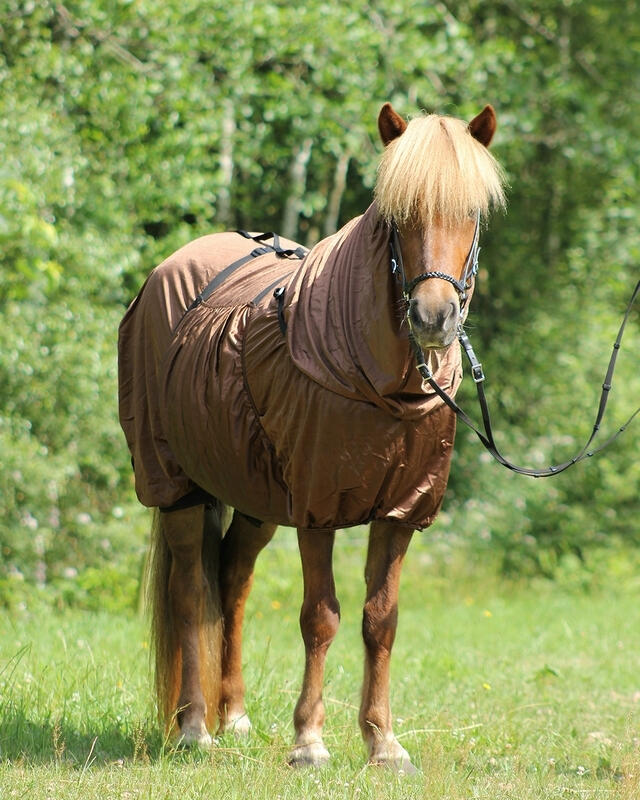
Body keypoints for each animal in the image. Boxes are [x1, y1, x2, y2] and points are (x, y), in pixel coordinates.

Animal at [118, 101, 506, 771]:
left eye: (471, 212)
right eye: (399, 215)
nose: (434, 317)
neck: (383, 388)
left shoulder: (401, 511)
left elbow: (381, 620)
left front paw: (383, 742)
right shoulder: (318, 506)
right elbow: (320, 617)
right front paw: (309, 742)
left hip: (255, 496)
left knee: (232, 582)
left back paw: (234, 716)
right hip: (175, 484)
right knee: (191, 591)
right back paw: (194, 725)